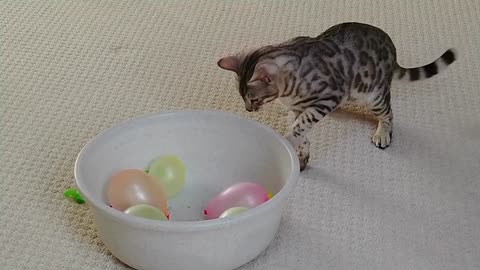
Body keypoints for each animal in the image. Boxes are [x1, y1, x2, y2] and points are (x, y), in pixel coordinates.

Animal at [218, 23, 458, 171]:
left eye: (253, 99)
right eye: (243, 99)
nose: (248, 109)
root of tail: (393, 51)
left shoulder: (328, 98)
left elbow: (299, 126)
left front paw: (287, 141)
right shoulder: (296, 108)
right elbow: (301, 129)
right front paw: (301, 153)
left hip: (374, 96)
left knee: (389, 113)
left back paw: (383, 133)